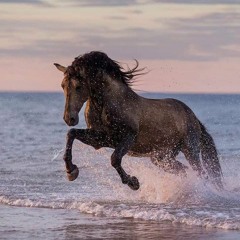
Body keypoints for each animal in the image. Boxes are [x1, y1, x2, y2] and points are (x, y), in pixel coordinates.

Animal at [54, 51, 223, 191]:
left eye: (78, 86)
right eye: (62, 85)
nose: (69, 118)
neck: (107, 103)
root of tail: (193, 117)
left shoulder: (128, 137)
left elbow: (115, 159)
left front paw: (133, 183)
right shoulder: (101, 139)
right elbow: (71, 134)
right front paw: (71, 171)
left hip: (190, 150)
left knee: (202, 173)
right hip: (161, 157)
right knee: (182, 170)